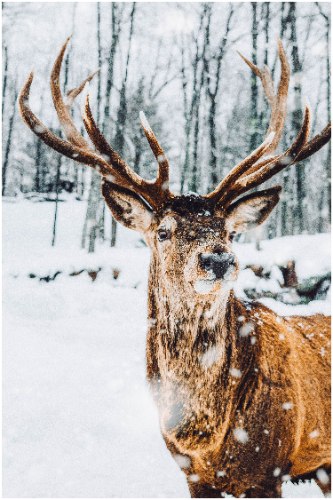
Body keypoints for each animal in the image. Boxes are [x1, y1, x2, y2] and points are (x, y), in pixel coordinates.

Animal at [18, 40, 330, 500]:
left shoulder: (270, 470)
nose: (218, 259)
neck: (203, 436)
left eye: (229, 231)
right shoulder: (192, 475)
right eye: (163, 231)